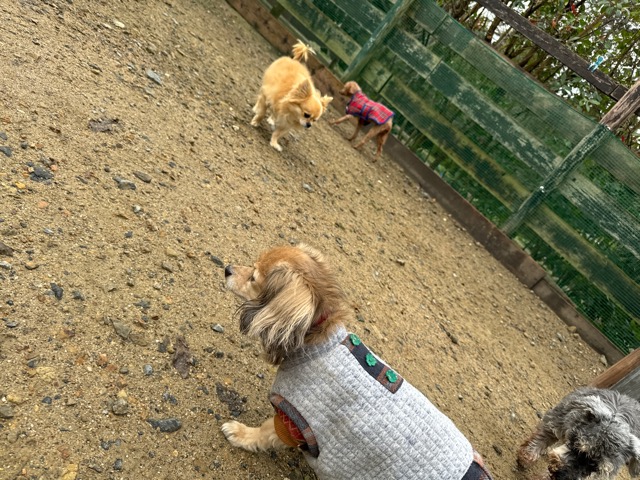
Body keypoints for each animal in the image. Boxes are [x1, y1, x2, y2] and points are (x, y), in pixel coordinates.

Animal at [221, 243, 493, 479]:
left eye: (254, 277)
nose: (227, 269)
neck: (318, 343)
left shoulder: (297, 419)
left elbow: (266, 432)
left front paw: (242, 434)